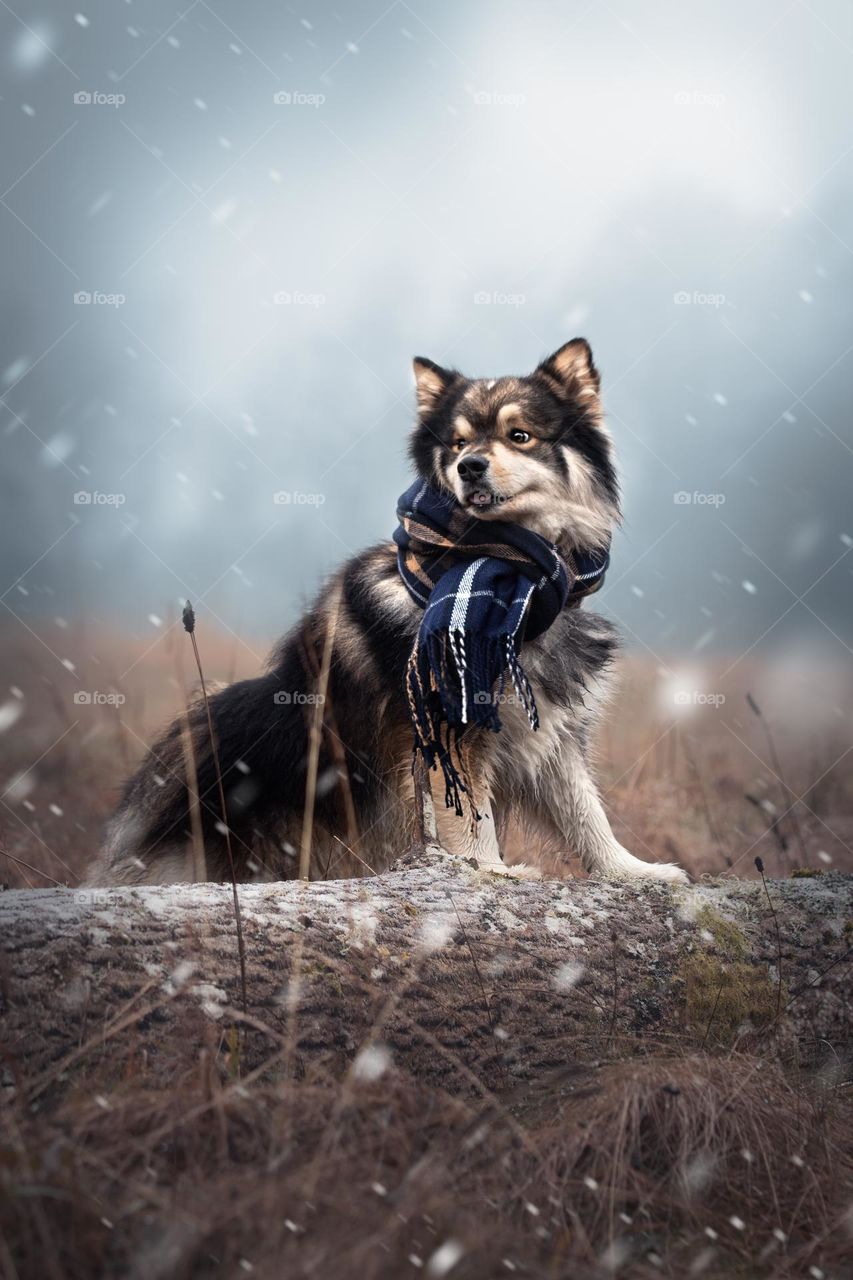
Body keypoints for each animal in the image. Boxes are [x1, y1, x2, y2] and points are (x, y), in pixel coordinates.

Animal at [86, 335, 686, 885]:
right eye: (458, 442)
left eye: (520, 436)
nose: (469, 466)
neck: (512, 578)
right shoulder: (446, 730)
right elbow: (472, 822)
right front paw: (490, 873)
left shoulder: (555, 734)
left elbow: (587, 814)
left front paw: (633, 870)